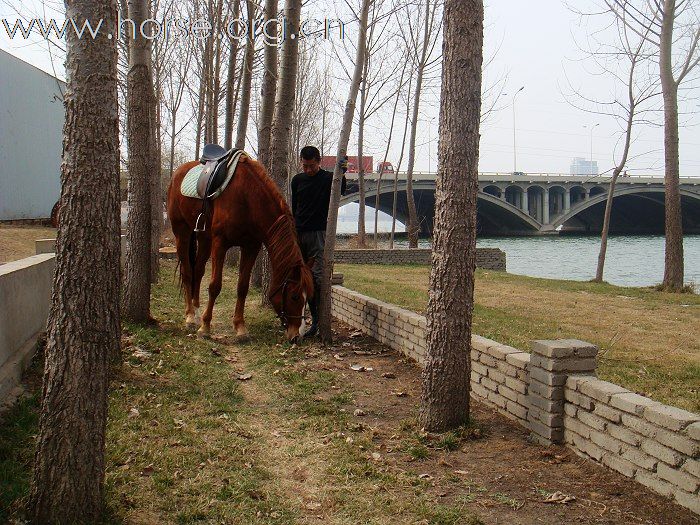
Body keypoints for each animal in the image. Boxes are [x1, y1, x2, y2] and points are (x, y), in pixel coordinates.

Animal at [165, 154, 314, 342]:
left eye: (308, 298)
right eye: (294, 296)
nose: (298, 336)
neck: (247, 197)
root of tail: (177, 173)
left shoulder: (251, 246)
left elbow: (242, 287)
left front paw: (240, 327)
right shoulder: (220, 244)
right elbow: (215, 286)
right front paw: (205, 327)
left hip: (204, 239)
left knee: (198, 271)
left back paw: (197, 312)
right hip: (182, 232)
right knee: (187, 273)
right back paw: (191, 317)